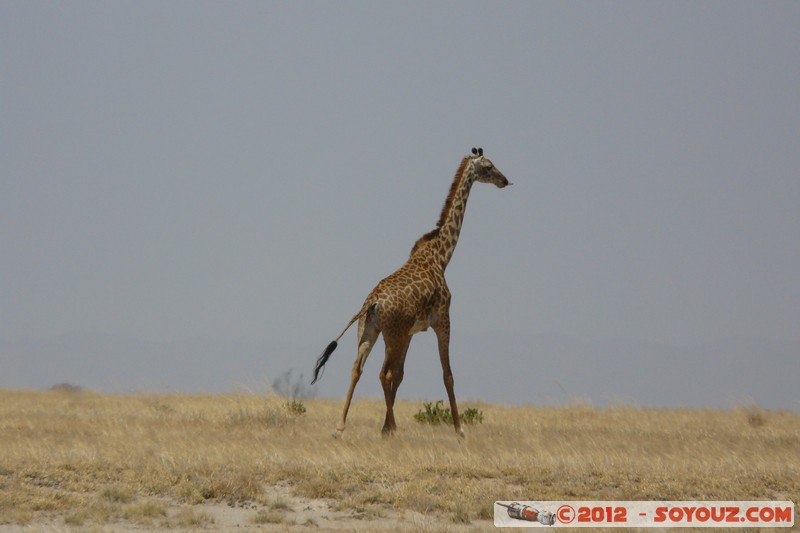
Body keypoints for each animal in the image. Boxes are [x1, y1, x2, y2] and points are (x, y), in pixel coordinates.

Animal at [311, 147, 510, 437]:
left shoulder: (412, 332)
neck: (441, 255)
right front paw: (459, 430)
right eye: (488, 166)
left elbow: (402, 374)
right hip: (391, 334)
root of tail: (371, 303)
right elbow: (447, 374)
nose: (504, 180)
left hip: (370, 331)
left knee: (358, 369)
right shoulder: (442, 319)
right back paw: (393, 428)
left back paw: (341, 427)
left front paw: (385, 427)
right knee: (383, 373)